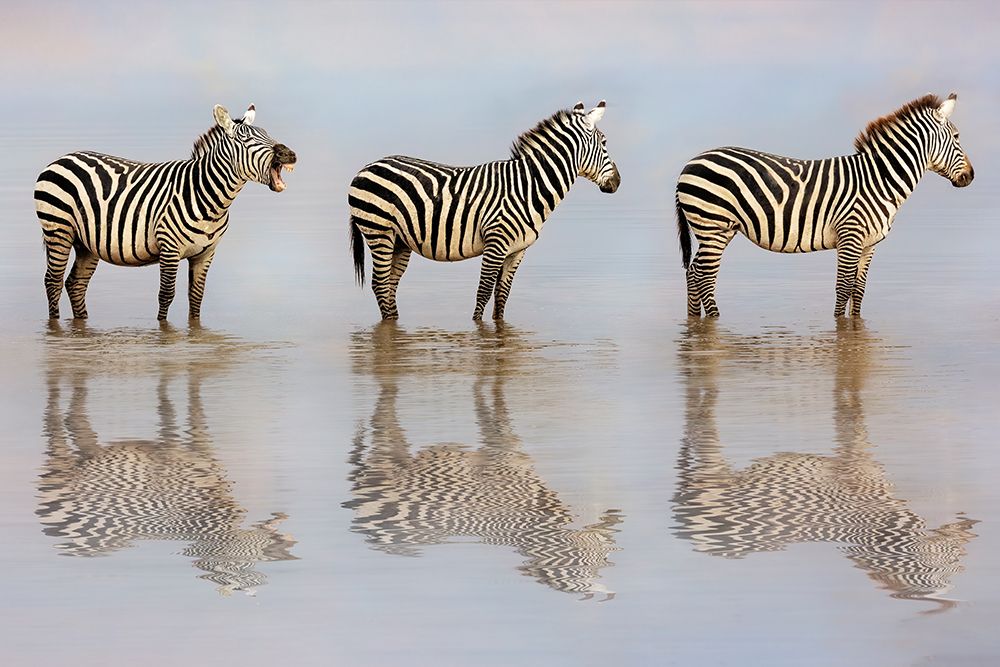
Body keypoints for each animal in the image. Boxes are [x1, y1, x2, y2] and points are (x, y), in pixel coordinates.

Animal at [34, 104, 297, 320]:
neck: (211, 199)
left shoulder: (206, 253)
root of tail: (63, 157)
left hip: (86, 243)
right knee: (53, 281)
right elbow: (166, 294)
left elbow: (196, 297)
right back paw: (55, 323)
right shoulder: (169, 248)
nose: (289, 154)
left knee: (75, 284)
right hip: (58, 230)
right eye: (246, 139)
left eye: (267, 134)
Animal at [348, 101, 621, 320]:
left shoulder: (517, 251)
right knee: (380, 284)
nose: (617, 182)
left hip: (400, 240)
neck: (528, 187)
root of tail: (366, 167)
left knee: (389, 285)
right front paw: (478, 328)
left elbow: (502, 296)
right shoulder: (496, 244)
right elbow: (484, 292)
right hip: (378, 231)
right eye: (605, 143)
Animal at [676, 93, 974, 318]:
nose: (971, 176)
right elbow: (843, 288)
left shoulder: (869, 244)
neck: (879, 180)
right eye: (957, 137)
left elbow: (858, 289)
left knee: (694, 273)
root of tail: (689, 163)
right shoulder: (850, 236)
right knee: (704, 276)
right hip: (712, 226)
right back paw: (715, 320)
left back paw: (696, 321)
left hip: (720, 230)